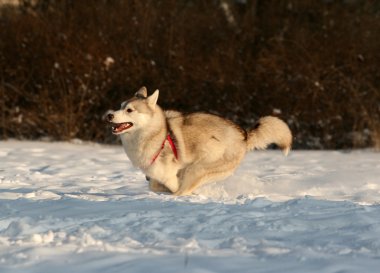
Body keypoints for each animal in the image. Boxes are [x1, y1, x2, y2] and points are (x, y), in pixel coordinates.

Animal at [105, 86, 292, 194]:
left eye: (129, 110)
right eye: (120, 106)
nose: (109, 115)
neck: (155, 135)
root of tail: (243, 134)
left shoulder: (169, 175)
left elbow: (173, 187)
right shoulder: (158, 175)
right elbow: (155, 185)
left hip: (197, 169)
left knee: (183, 190)